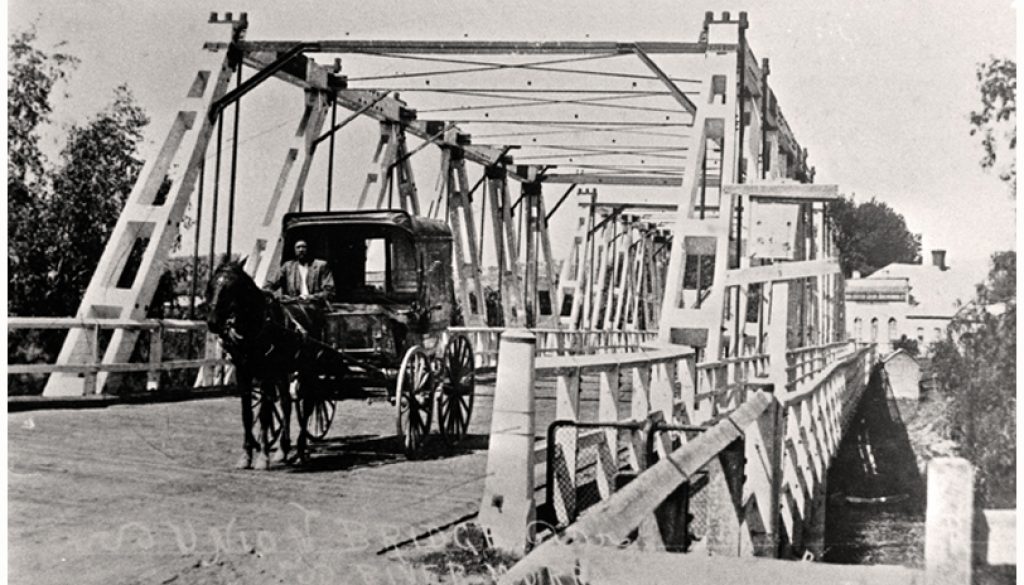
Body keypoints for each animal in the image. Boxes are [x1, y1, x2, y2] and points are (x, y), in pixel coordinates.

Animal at [205, 261, 346, 471]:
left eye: (230, 288)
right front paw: (246, 456)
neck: (255, 326)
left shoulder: (267, 374)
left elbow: (265, 414)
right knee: (287, 403)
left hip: (308, 370)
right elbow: (247, 414)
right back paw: (283, 449)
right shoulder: (244, 372)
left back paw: (301, 450)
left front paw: (263, 458)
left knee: (308, 405)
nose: (213, 322)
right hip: (284, 371)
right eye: (211, 286)